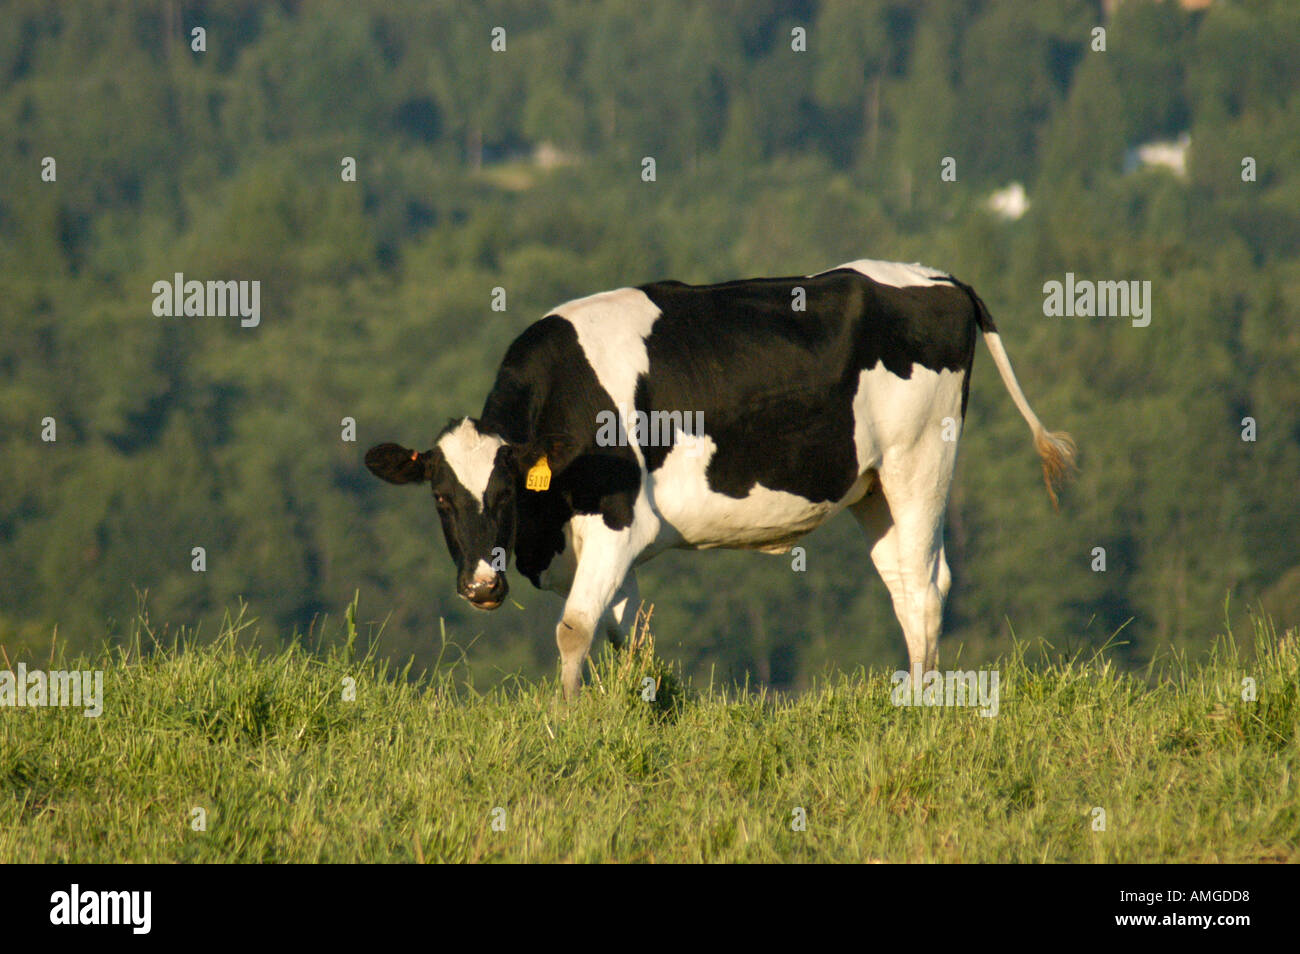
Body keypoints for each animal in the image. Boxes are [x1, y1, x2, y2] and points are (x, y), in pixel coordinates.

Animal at [366, 259, 1076, 698]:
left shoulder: (619, 521)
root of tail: (937, 277)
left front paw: (563, 724)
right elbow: (628, 638)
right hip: (872, 486)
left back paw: (922, 710)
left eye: (507, 492)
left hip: (921, 459)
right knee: (907, 582)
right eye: (440, 498)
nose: (482, 585)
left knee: (928, 589)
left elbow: (574, 629)